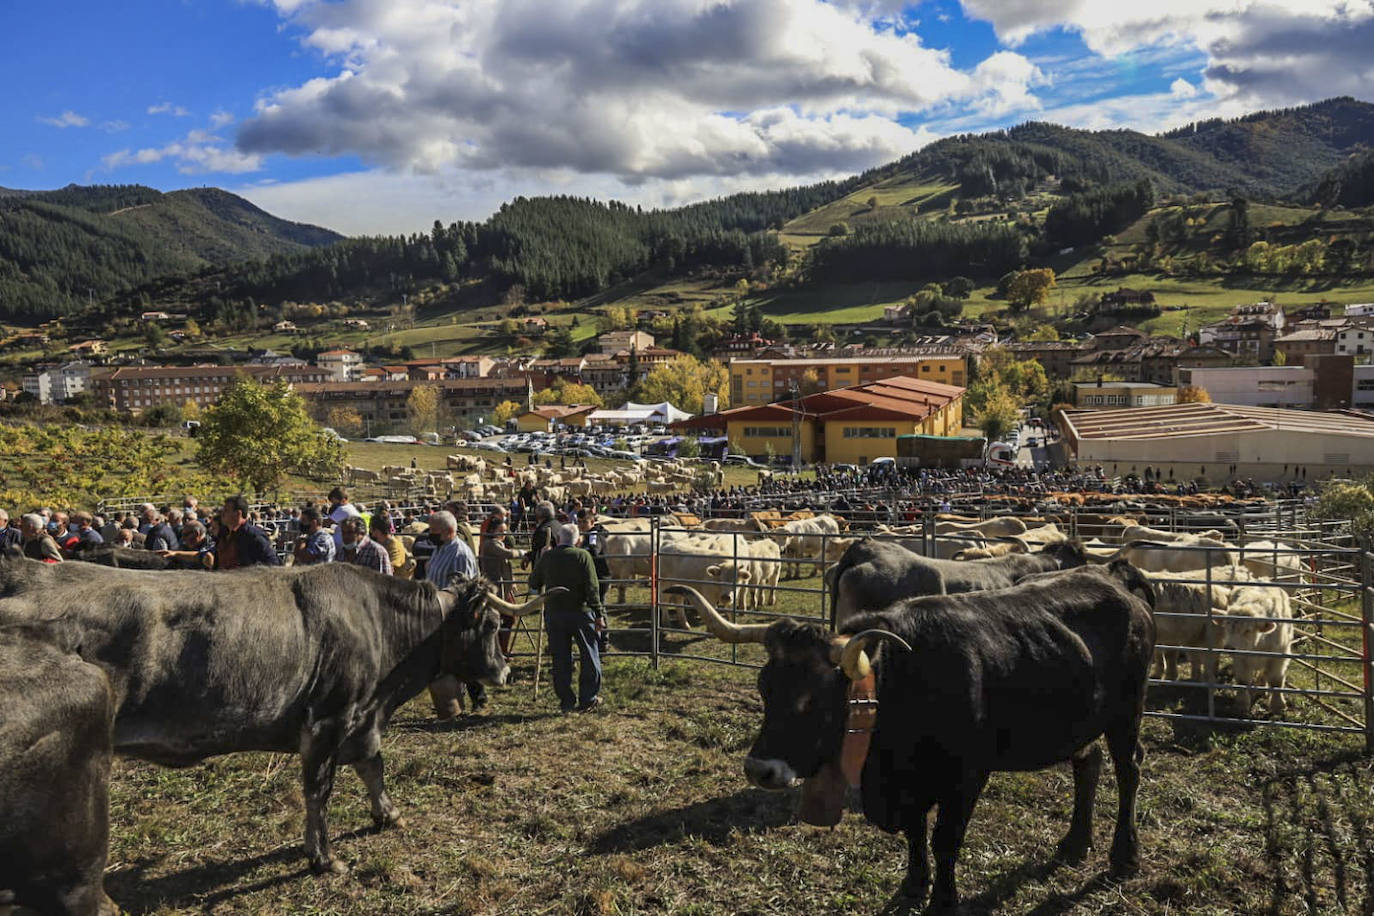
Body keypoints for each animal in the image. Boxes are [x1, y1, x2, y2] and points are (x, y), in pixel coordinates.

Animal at [0, 554, 563, 878]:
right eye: (489, 625)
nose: (504, 673)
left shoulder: (362, 719)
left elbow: (373, 766)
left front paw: (387, 814)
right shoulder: (328, 721)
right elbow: (319, 791)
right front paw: (323, 857)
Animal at [670, 560, 1154, 911]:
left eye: (816, 698)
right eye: (764, 688)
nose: (760, 770)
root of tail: (1112, 575)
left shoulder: (965, 777)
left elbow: (945, 840)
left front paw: (943, 899)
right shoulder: (909, 783)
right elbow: (916, 834)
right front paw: (914, 885)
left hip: (1127, 713)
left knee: (1128, 771)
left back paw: (1124, 854)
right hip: (1083, 721)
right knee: (1088, 764)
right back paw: (1075, 842)